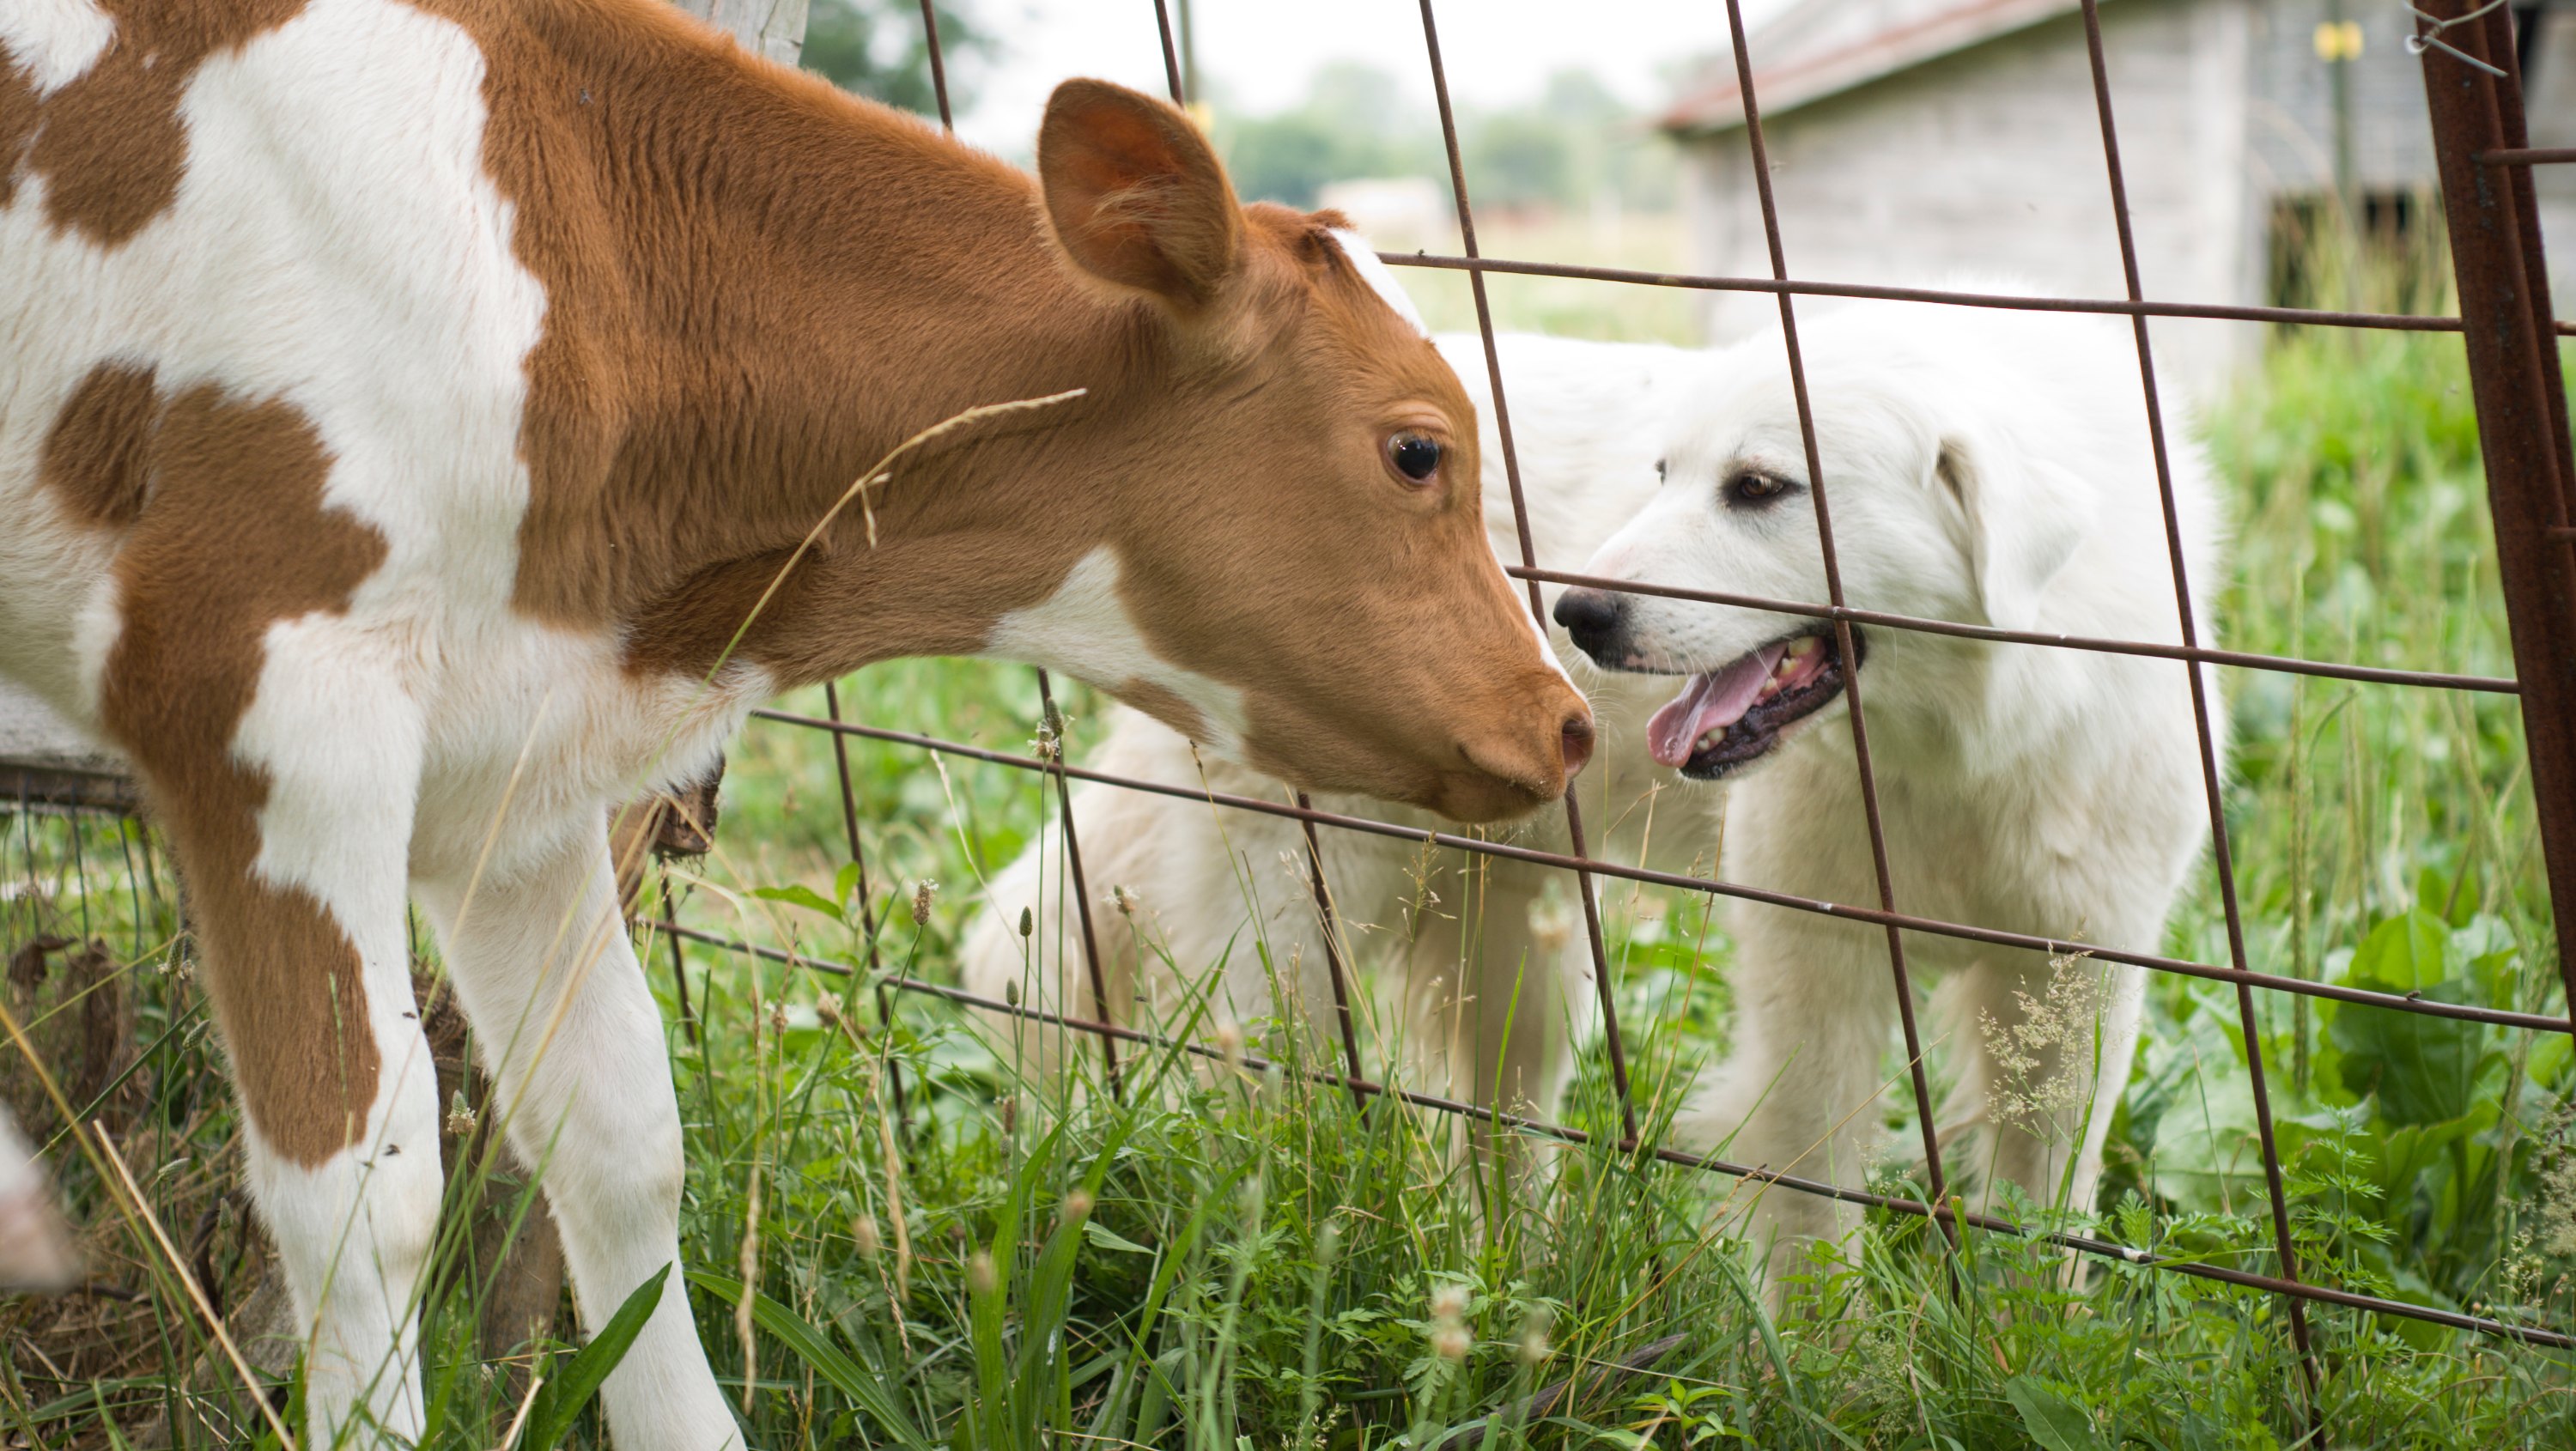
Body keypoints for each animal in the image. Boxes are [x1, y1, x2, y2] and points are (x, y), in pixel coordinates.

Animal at [0, 0, 1587, 1442]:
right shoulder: (263, 691)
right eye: (1419, 450)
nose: (1564, 718)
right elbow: (359, 1185)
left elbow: (620, 1137)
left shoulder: (521, 764)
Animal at [969, 309, 2215, 1293]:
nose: (1575, 616)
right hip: (1301, 924)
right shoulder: (1818, 972)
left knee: (1494, 1136)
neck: (1964, 738)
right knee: (1256, 1094)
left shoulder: (2076, 983)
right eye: (1664, 475)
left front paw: (2019, 1348)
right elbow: (1814, 1197)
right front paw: (1832, 1366)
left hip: (1515, 958)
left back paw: (1503, 1283)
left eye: (1759, 488)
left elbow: (2046, 1208)